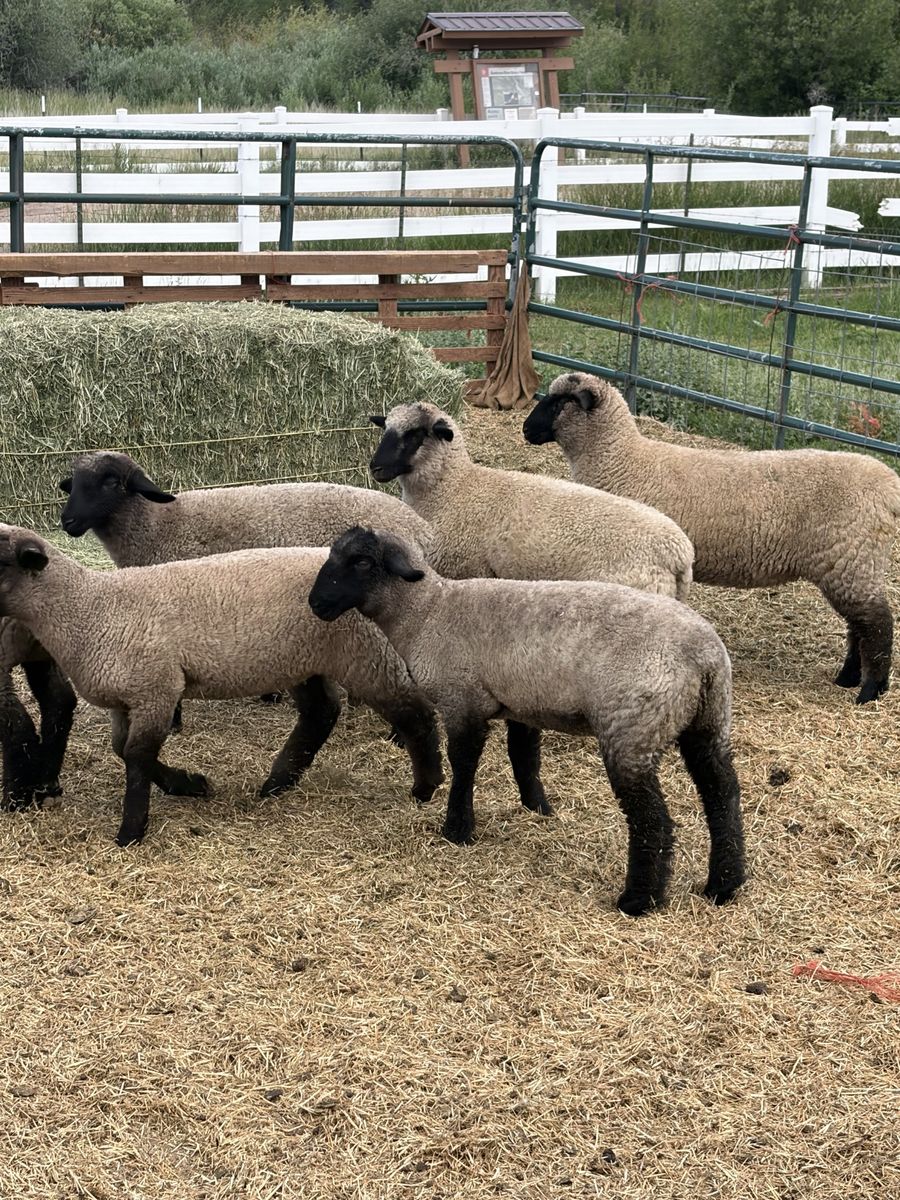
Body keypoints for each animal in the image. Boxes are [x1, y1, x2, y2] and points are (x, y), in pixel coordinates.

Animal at [309, 527, 746, 917]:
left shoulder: (462, 701)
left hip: (631, 730)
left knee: (651, 818)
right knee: (722, 794)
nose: (315, 603)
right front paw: (537, 807)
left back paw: (639, 900)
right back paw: (724, 885)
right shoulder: (522, 704)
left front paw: (457, 830)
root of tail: (703, 656)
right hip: (708, 723)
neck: (427, 612)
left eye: (362, 561)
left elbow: (464, 766)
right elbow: (524, 756)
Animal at [368, 403, 693, 599]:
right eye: (386, 429)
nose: (376, 468)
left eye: (415, 435)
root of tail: (679, 551)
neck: (455, 489)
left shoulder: (466, 570)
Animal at [524, 372, 900, 704]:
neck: (621, 460)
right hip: (848, 564)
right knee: (858, 624)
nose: (526, 429)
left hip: (853, 559)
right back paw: (847, 677)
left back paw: (870, 691)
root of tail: (889, 485)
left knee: (877, 623)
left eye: (560, 402)